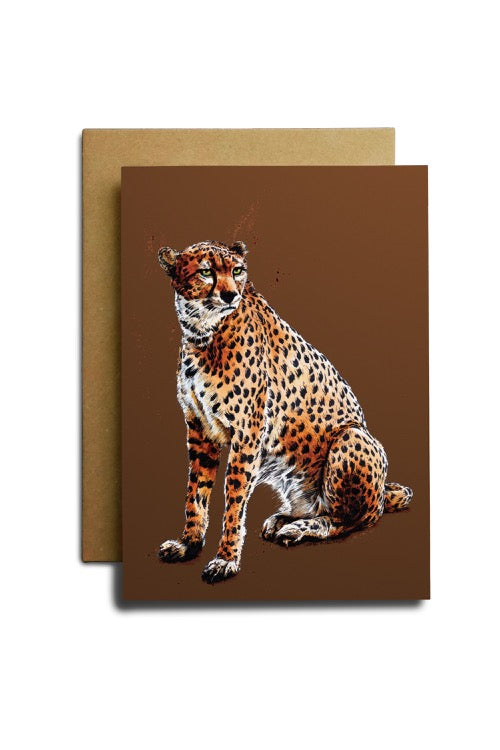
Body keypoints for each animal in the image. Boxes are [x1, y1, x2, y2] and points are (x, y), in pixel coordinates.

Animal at [156, 240, 413, 584]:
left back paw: (299, 528)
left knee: (348, 519)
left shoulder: (247, 434)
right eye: (206, 272)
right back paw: (283, 518)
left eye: (237, 270)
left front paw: (225, 559)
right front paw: (188, 543)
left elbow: (233, 501)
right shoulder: (199, 430)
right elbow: (195, 493)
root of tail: (384, 492)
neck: (202, 332)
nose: (230, 295)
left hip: (353, 438)